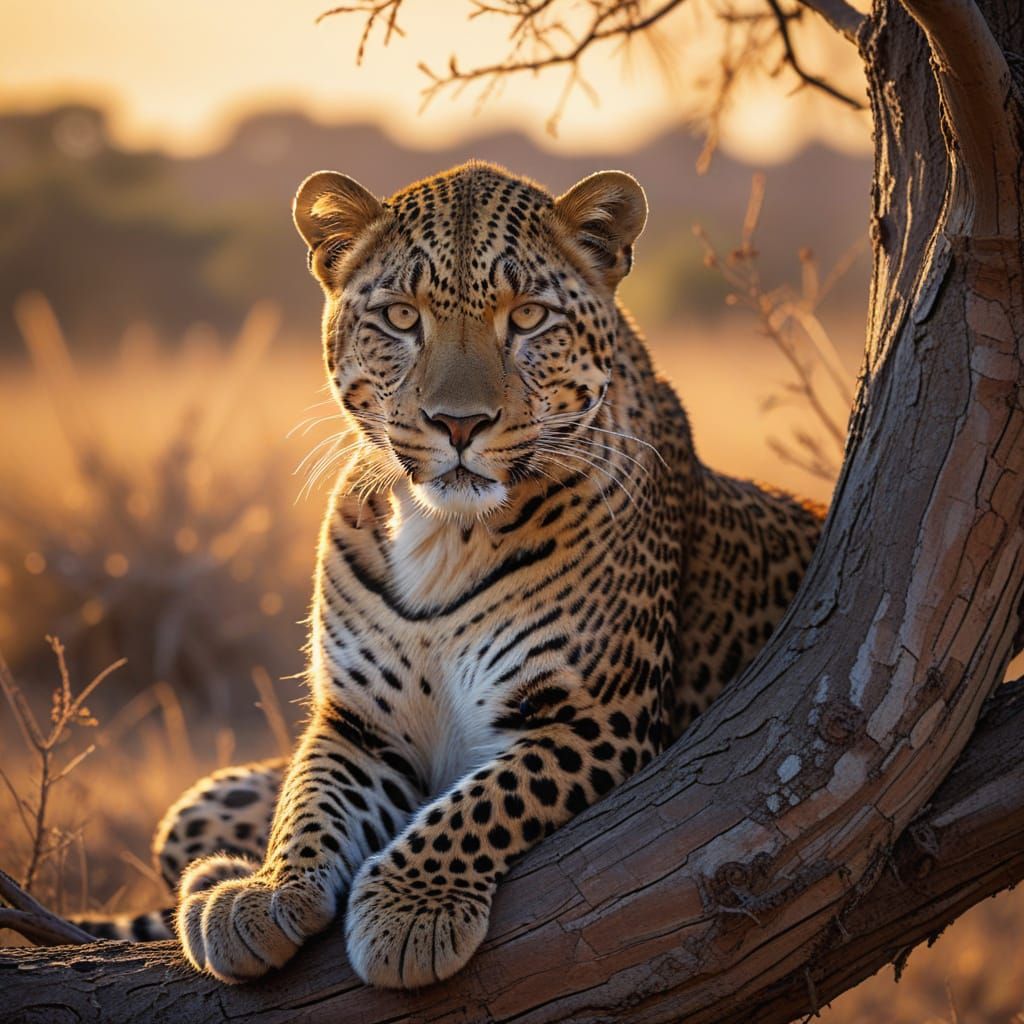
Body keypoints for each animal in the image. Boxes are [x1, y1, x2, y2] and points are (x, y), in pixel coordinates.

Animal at [73, 161, 823, 989]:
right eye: (402, 317)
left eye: (528, 317)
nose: (459, 424)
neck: (445, 534)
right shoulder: (361, 724)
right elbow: (310, 800)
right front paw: (264, 891)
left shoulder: (596, 718)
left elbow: (484, 801)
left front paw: (410, 911)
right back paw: (215, 877)